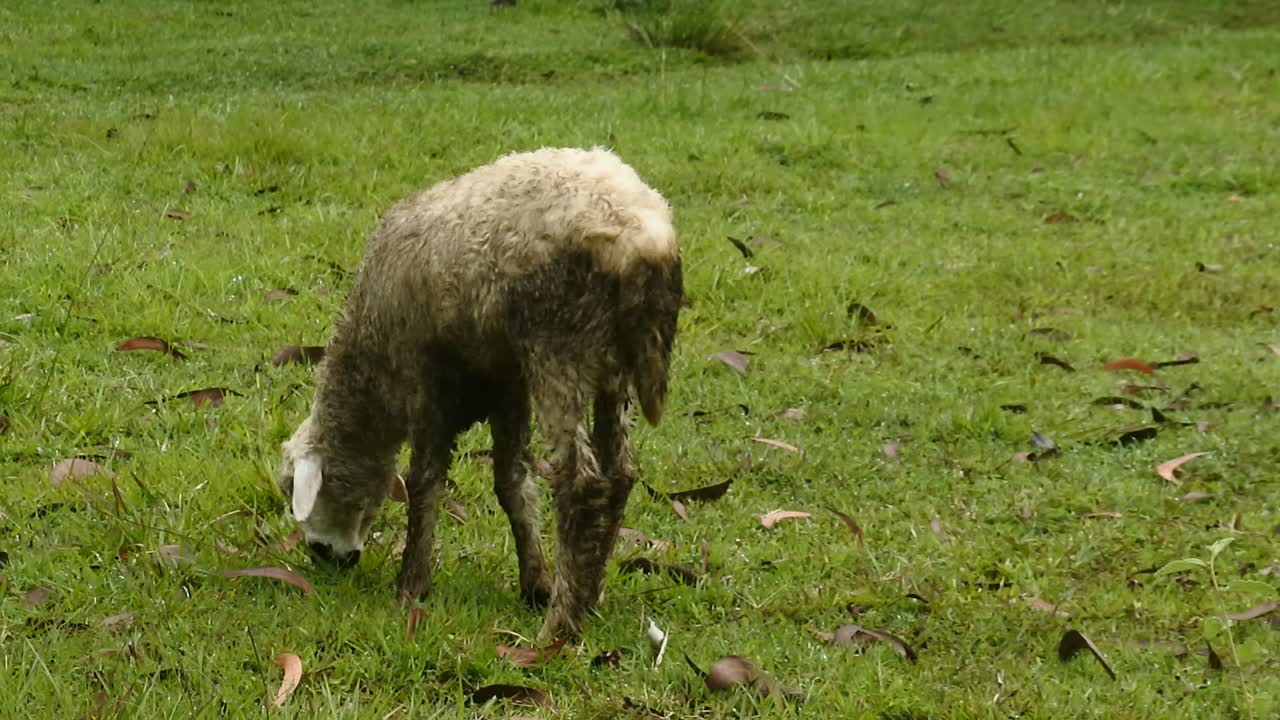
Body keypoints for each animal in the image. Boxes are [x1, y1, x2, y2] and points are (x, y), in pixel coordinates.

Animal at [278, 146, 683, 640]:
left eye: (292, 490)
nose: (324, 557)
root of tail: (643, 235)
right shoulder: (508, 384)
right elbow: (513, 484)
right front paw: (535, 582)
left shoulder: (426, 375)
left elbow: (425, 481)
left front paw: (411, 586)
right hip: (611, 365)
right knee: (620, 472)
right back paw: (592, 592)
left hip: (558, 345)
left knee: (582, 483)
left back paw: (560, 625)